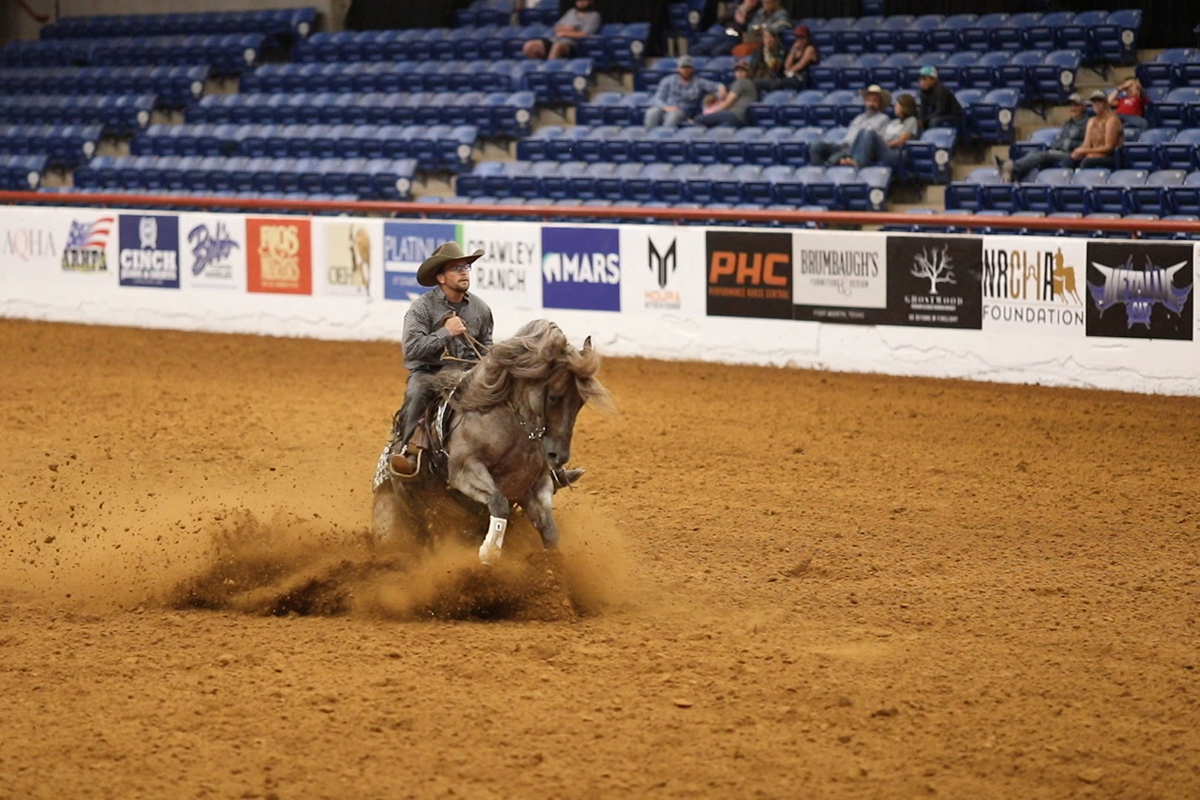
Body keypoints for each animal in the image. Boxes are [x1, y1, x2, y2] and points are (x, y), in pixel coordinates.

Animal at [372, 319, 612, 565]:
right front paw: (490, 551)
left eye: (581, 401)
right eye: (554, 397)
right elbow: (498, 501)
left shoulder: (534, 483)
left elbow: (549, 528)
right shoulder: (464, 470)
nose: (559, 456)